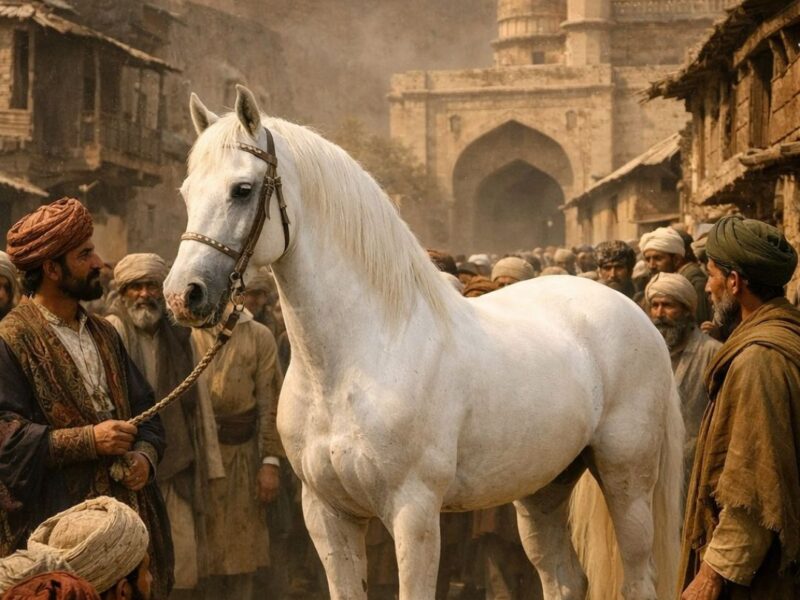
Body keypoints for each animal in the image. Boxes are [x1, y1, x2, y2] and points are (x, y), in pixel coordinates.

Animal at [164, 85, 684, 600]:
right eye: (186, 193)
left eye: (242, 189)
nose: (183, 294)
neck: (357, 360)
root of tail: (632, 312)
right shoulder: (327, 513)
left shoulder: (413, 513)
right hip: (545, 483)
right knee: (563, 579)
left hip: (627, 478)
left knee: (639, 576)